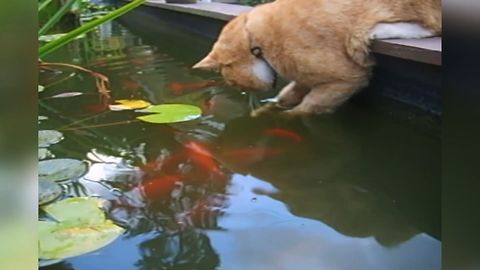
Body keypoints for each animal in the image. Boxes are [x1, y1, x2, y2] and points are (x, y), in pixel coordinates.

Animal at [193, 0, 440, 115]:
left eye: (234, 83)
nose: (244, 93)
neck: (257, 43)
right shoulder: (303, 78)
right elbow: (284, 97)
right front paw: (265, 110)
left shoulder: (347, 79)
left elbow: (304, 109)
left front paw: (279, 118)